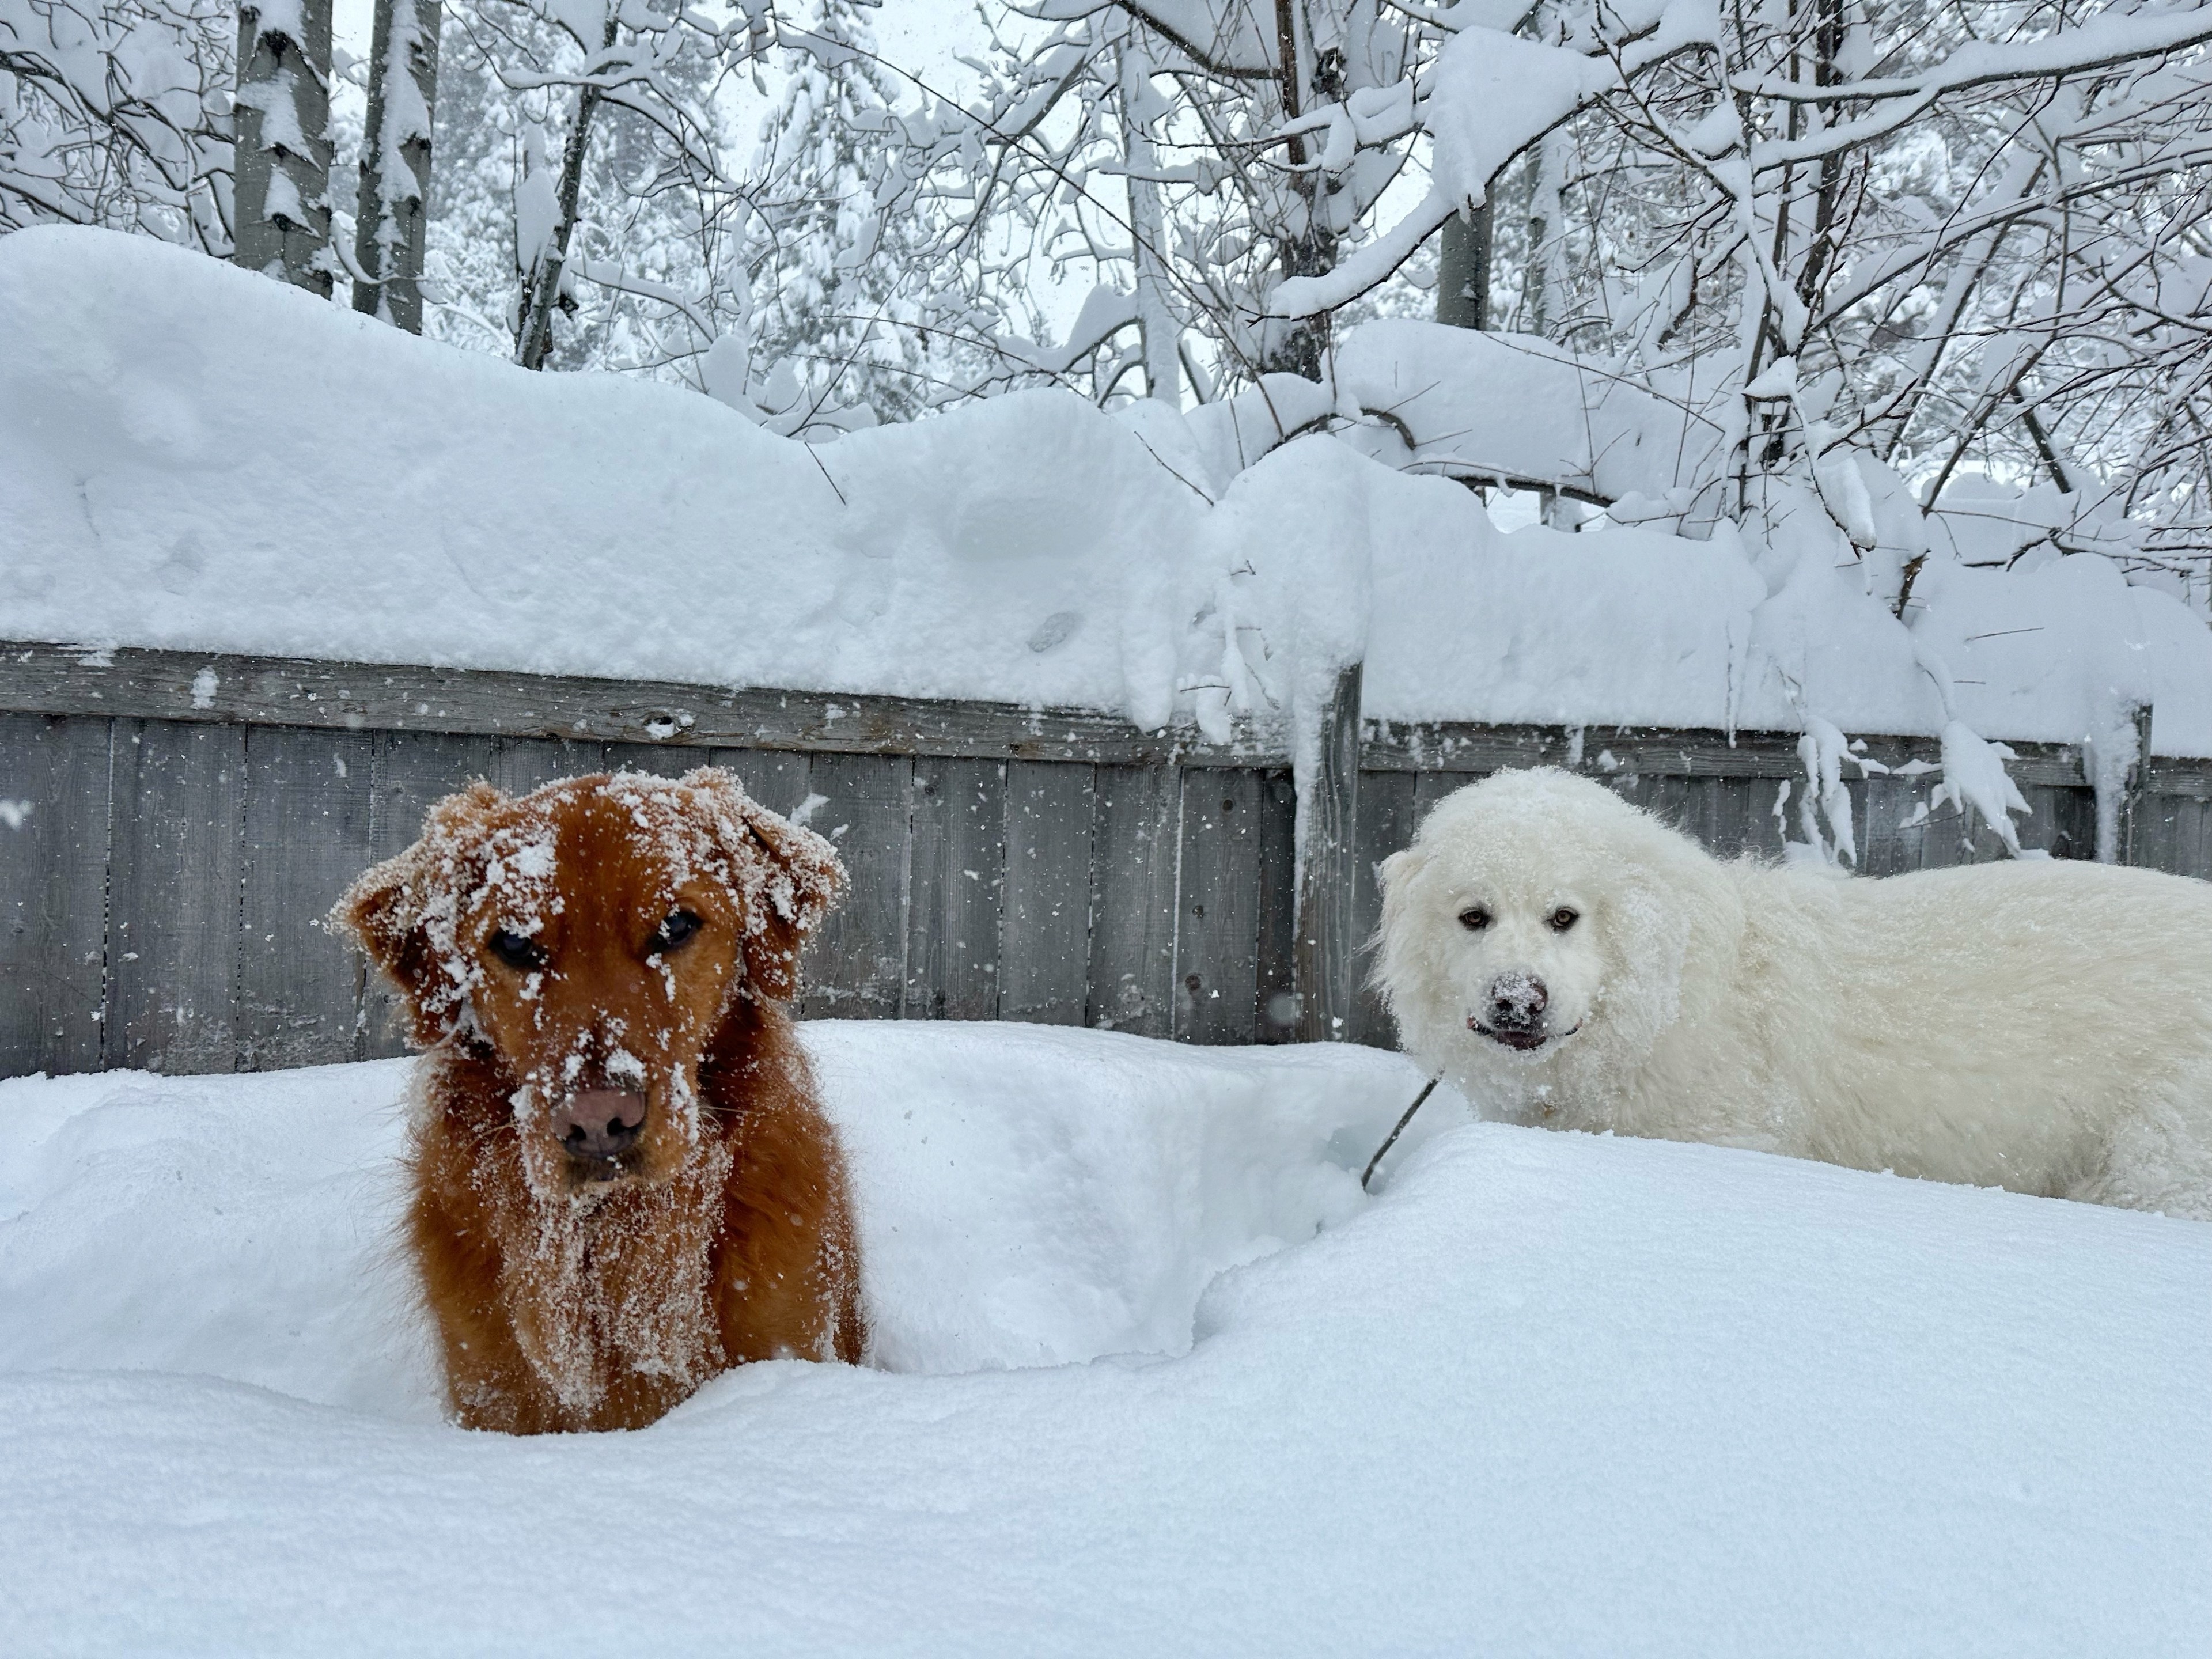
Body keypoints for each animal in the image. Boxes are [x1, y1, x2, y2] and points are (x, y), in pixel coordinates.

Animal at [1371, 770, 2212, 1221]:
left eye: (1565, 917)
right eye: (1473, 918)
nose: (1517, 1000)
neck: (1665, 1002)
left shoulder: (1727, 1138)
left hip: (2162, 1167)